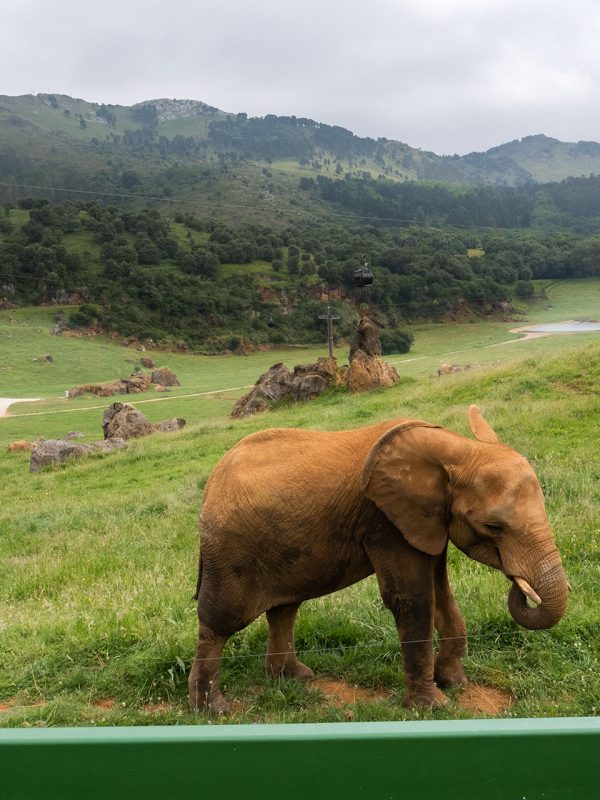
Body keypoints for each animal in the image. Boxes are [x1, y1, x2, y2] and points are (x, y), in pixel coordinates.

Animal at [190, 406, 568, 712]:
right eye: (493, 527)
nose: (521, 586)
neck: (457, 449)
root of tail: (211, 484)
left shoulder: (427, 520)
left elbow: (441, 594)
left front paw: (454, 683)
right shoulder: (385, 521)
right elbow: (412, 599)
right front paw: (433, 705)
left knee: (284, 609)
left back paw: (294, 679)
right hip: (230, 550)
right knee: (220, 622)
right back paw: (213, 709)